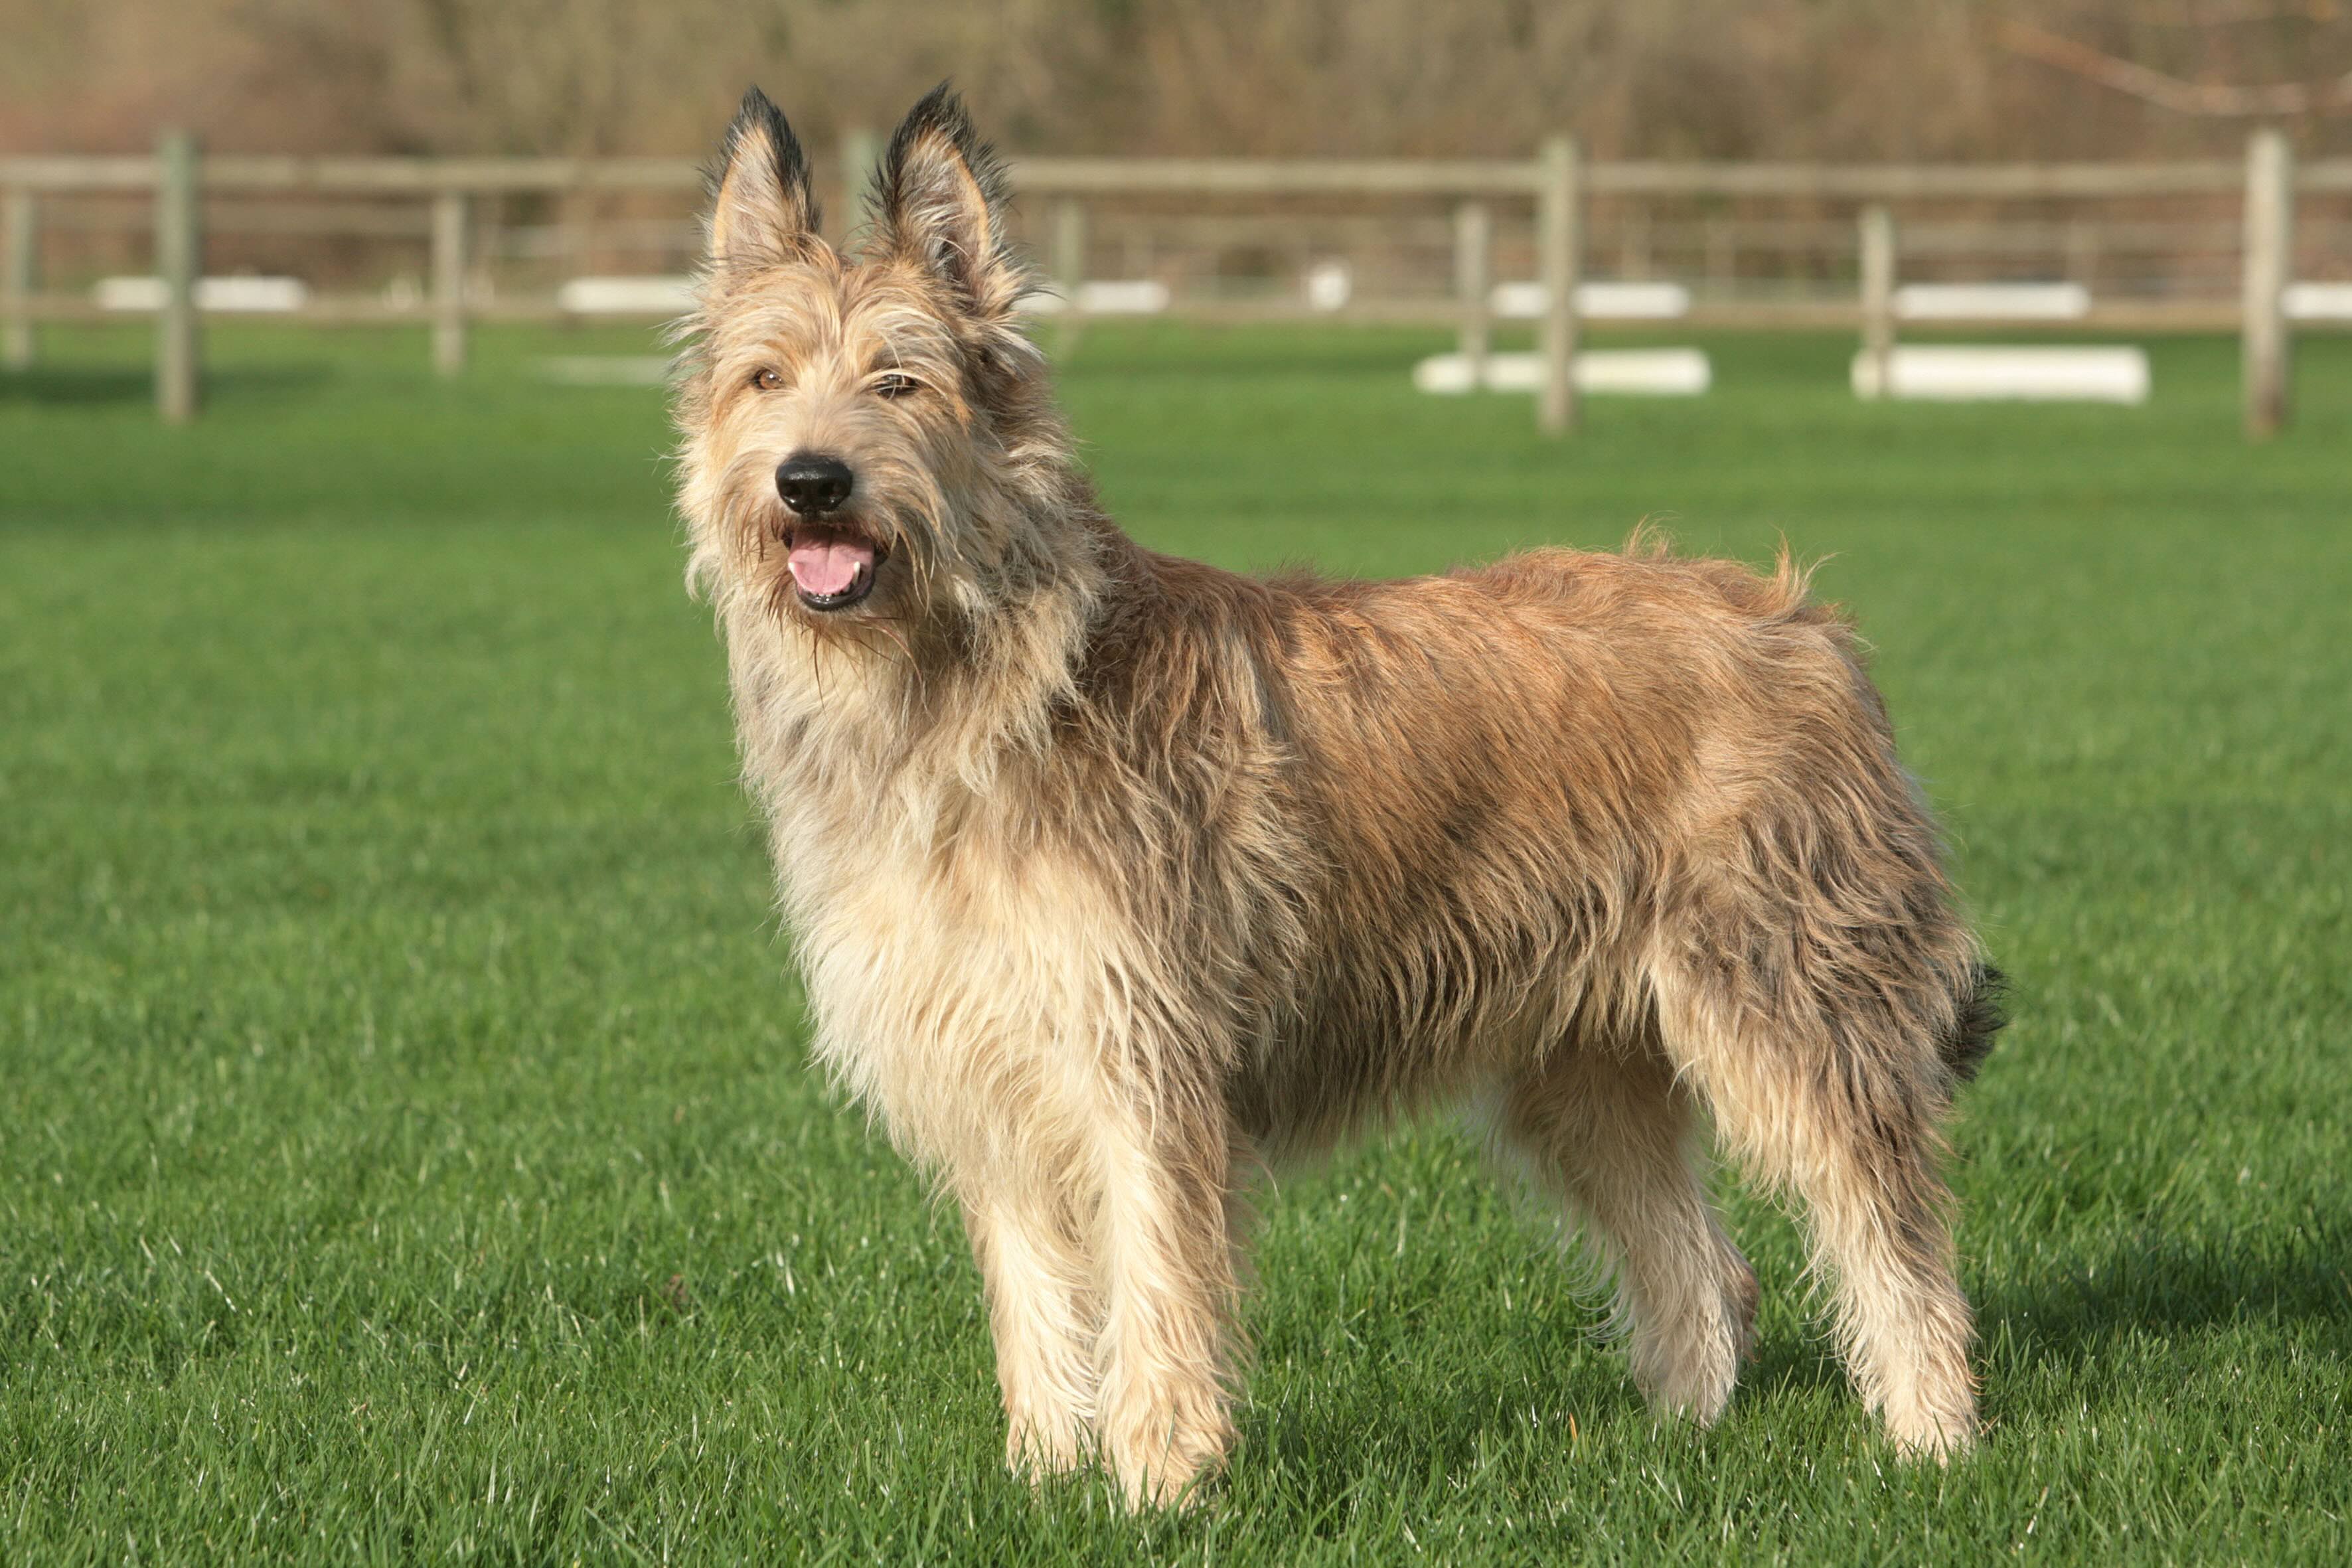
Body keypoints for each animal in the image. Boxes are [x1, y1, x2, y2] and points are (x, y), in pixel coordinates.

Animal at [668, 86, 2003, 1504]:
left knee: (1888, 1228)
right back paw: (1680, 1439)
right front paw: (1041, 1472)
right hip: (1585, 1064)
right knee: (1704, 1266)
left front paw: (1158, 1481)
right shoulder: (990, 1072)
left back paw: (1930, 1436)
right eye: (764, 377)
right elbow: (1034, 1298)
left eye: (898, 380)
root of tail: (1805, 625)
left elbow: (1159, 1279)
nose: (810, 479)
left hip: (1791, 1001)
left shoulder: (1140, 1055)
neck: (971, 683)